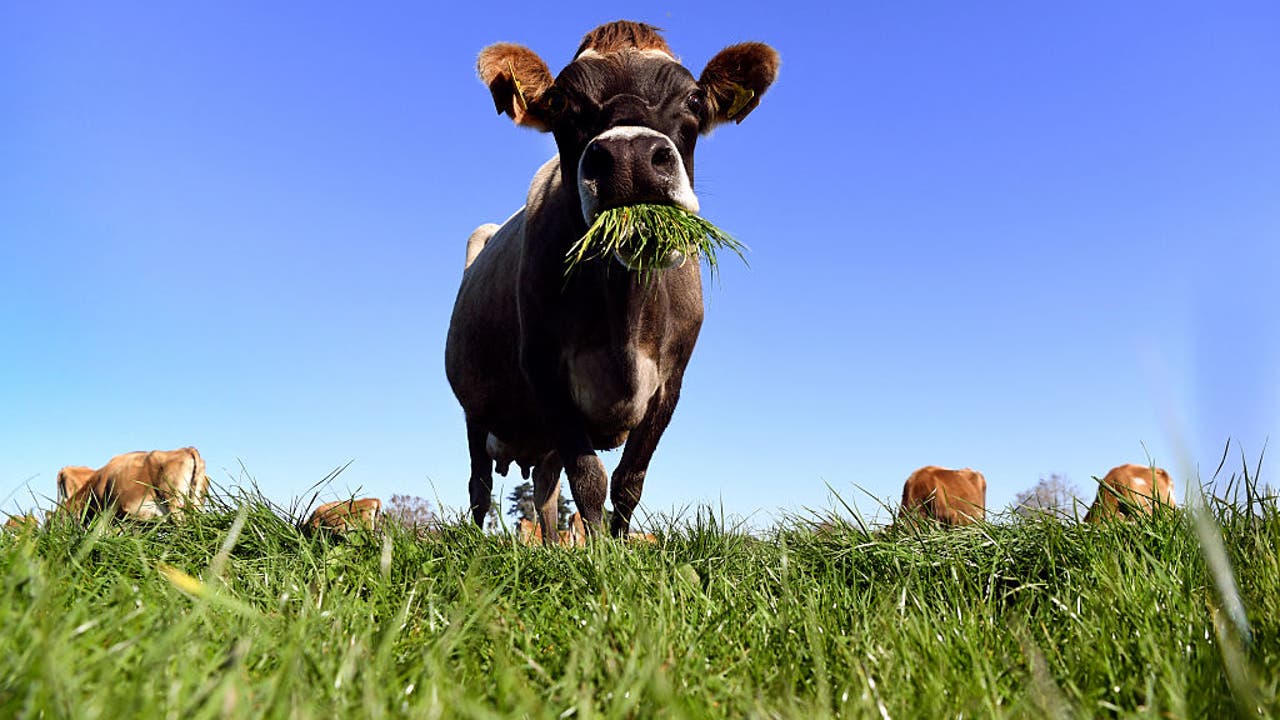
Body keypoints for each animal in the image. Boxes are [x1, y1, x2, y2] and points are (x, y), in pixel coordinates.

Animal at [445, 20, 779, 542]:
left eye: (694, 98)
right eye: (560, 100)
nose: (630, 156)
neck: (624, 316)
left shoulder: (670, 382)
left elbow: (628, 480)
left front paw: (620, 549)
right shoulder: (543, 369)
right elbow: (589, 478)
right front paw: (600, 552)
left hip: (540, 440)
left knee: (544, 490)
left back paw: (551, 547)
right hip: (475, 410)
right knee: (479, 486)